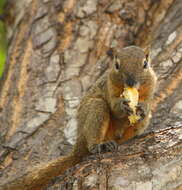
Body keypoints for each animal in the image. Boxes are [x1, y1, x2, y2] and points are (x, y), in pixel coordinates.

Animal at [0, 46, 156, 190]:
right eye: (117, 65)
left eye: (145, 64)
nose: (130, 82)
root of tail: (78, 146)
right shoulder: (109, 86)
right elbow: (113, 107)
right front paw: (123, 105)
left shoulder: (152, 85)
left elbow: (148, 101)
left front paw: (143, 107)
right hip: (95, 111)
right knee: (93, 136)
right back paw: (100, 145)